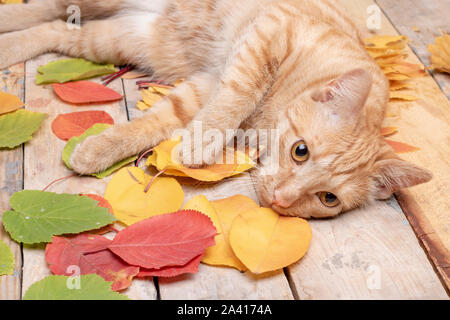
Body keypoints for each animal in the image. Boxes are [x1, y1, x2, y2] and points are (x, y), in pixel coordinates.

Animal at [0, 0, 432, 218]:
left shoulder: (204, 86)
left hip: (121, 40)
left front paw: (99, 149)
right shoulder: (266, 35)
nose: (282, 200)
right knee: (45, 8)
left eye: (328, 198)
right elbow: (240, 93)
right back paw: (7, 24)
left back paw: (12, 42)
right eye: (301, 151)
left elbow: (158, 122)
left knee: (58, 27)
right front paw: (199, 146)